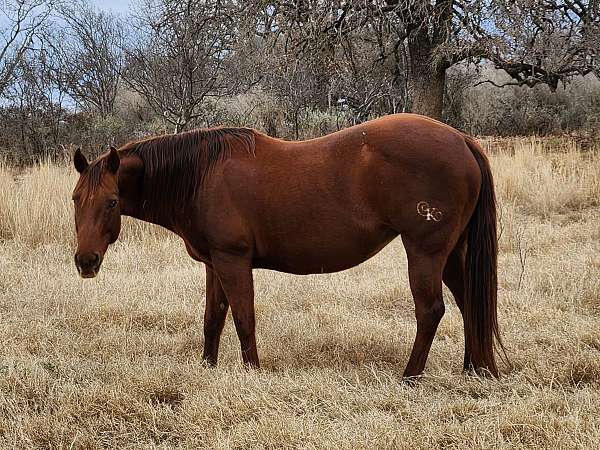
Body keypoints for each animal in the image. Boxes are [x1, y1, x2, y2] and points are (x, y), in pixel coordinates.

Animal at [71, 114, 506, 378]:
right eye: (76, 199)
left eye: (111, 202)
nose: (85, 262)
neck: (201, 175)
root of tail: (460, 139)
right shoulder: (214, 263)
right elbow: (213, 319)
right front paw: (207, 369)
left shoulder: (233, 261)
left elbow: (243, 318)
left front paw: (252, 372)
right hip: (451, 254)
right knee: (469, 302)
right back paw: (476, 369)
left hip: (425, 252)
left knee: (431, 311)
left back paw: (410, 376)